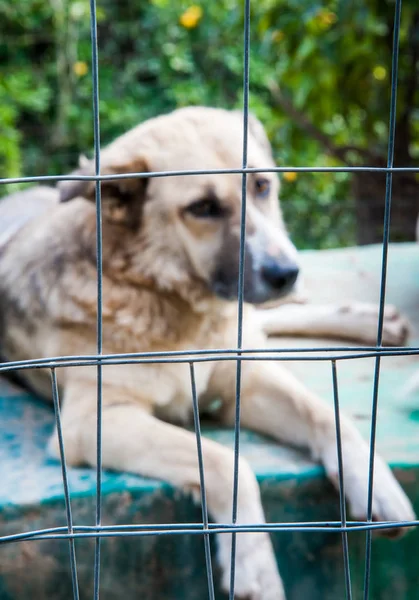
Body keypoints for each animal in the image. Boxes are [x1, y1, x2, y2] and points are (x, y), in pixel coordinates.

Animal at [0, 108, 416, 600]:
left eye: (262, 185)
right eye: (202, 208)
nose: (286, 272)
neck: (174, 306)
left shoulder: (244, 382)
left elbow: (327, 416)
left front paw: (377, 485)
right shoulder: (92, 422)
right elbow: (227, 463)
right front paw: (255, 567)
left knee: (270, 321)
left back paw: (375, 321)